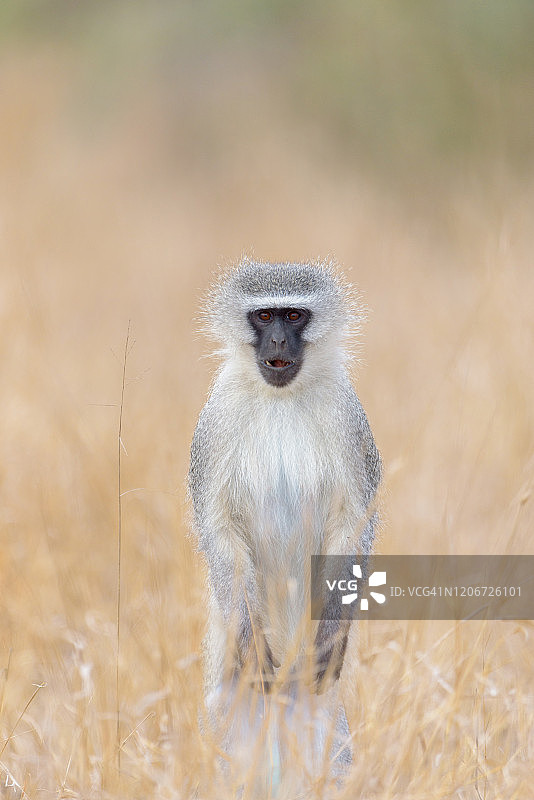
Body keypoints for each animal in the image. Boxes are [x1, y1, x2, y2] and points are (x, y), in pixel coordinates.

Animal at [188, 258, 382, 780]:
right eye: (264, 316)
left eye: (294, 315)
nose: (277, 342)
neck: (281, 397)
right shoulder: (217, 417)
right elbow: (217, 527)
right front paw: (252, 641)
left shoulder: (347, 414)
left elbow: (354, 521)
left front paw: (334, 631)